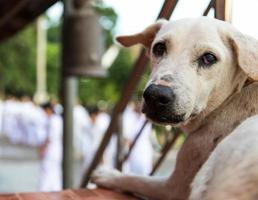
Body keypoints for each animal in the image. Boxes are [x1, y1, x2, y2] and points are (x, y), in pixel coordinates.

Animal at [91, 17, 258, 200]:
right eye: (159, 47)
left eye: (209, 57)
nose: (156, 95)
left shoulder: (174, 186)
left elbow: (135, 179)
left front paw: (108, 175)